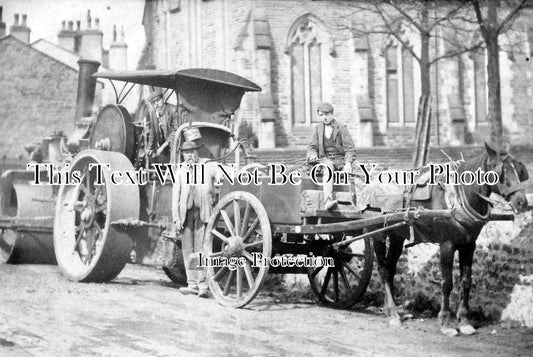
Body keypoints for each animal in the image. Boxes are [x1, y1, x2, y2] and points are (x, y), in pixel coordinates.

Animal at [374, 142, 528, 334]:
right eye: (501, 171)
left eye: (519, 170)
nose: (522, 202)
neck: (457, 198)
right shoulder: (446, 245)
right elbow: (447, 283)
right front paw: (446, 323)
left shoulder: (469, 245)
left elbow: (466, 282)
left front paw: (464, 321)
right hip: (377, 233)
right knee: (383, 270)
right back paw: (393, 314)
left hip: (396, 236)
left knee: (390, 269)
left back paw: (391, 309)